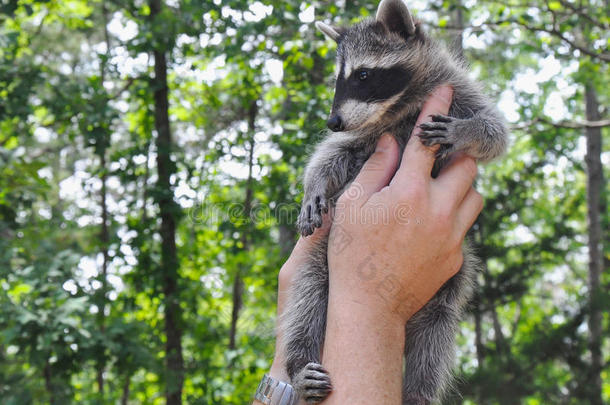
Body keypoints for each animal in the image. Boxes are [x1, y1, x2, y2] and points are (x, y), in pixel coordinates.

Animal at [282, 1, 506, 402]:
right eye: (338, 79)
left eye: (363, 74)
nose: (332, 120)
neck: (400, 105)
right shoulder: (366, 132)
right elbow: (332, 153)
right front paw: (313, 185)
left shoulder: (459, 93)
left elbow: (495, 132)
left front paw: (466, 131)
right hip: (321, 256)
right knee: (308, 297)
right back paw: (298, 363)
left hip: (455, 280)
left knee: (434, 340)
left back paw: (419, 391)